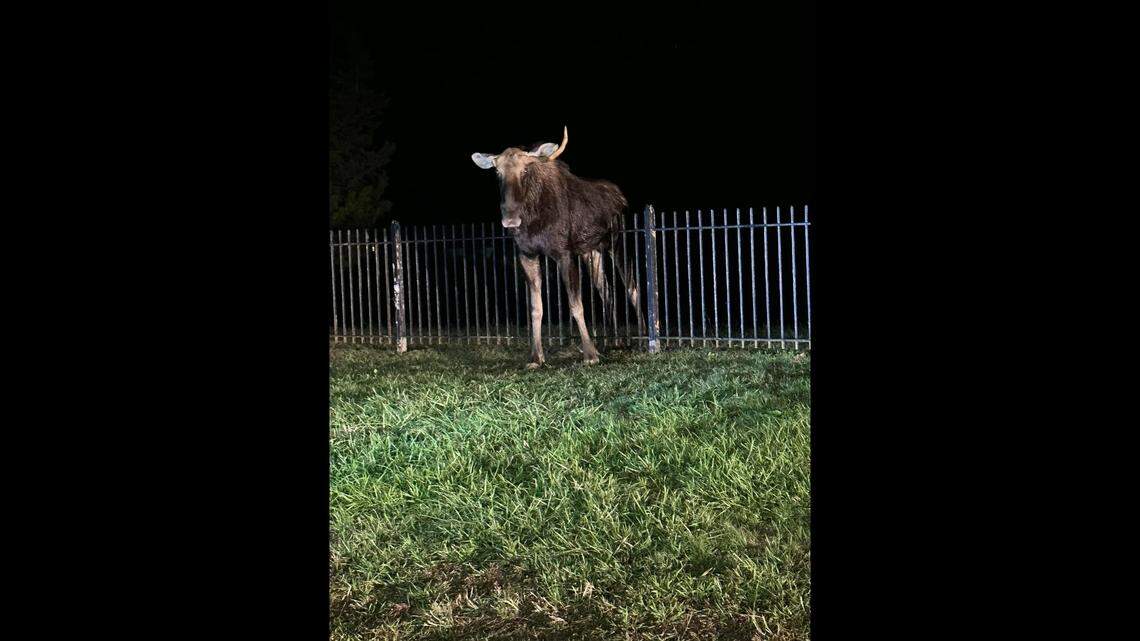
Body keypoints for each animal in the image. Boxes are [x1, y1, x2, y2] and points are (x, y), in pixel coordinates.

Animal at [471, 127, 644, 368]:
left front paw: (590, 355)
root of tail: (621, 196)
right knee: (607, 291)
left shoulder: (564, 253)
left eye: (525, 170)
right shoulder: (527, 254)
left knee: (632, 287)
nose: (510, 219)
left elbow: (576, 305)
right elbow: (536, 308)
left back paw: (646, 337)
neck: (533, 219)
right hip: (592, 252)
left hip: (617, 243)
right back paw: (616, 340)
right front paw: (536, 357)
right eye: (498, 173)